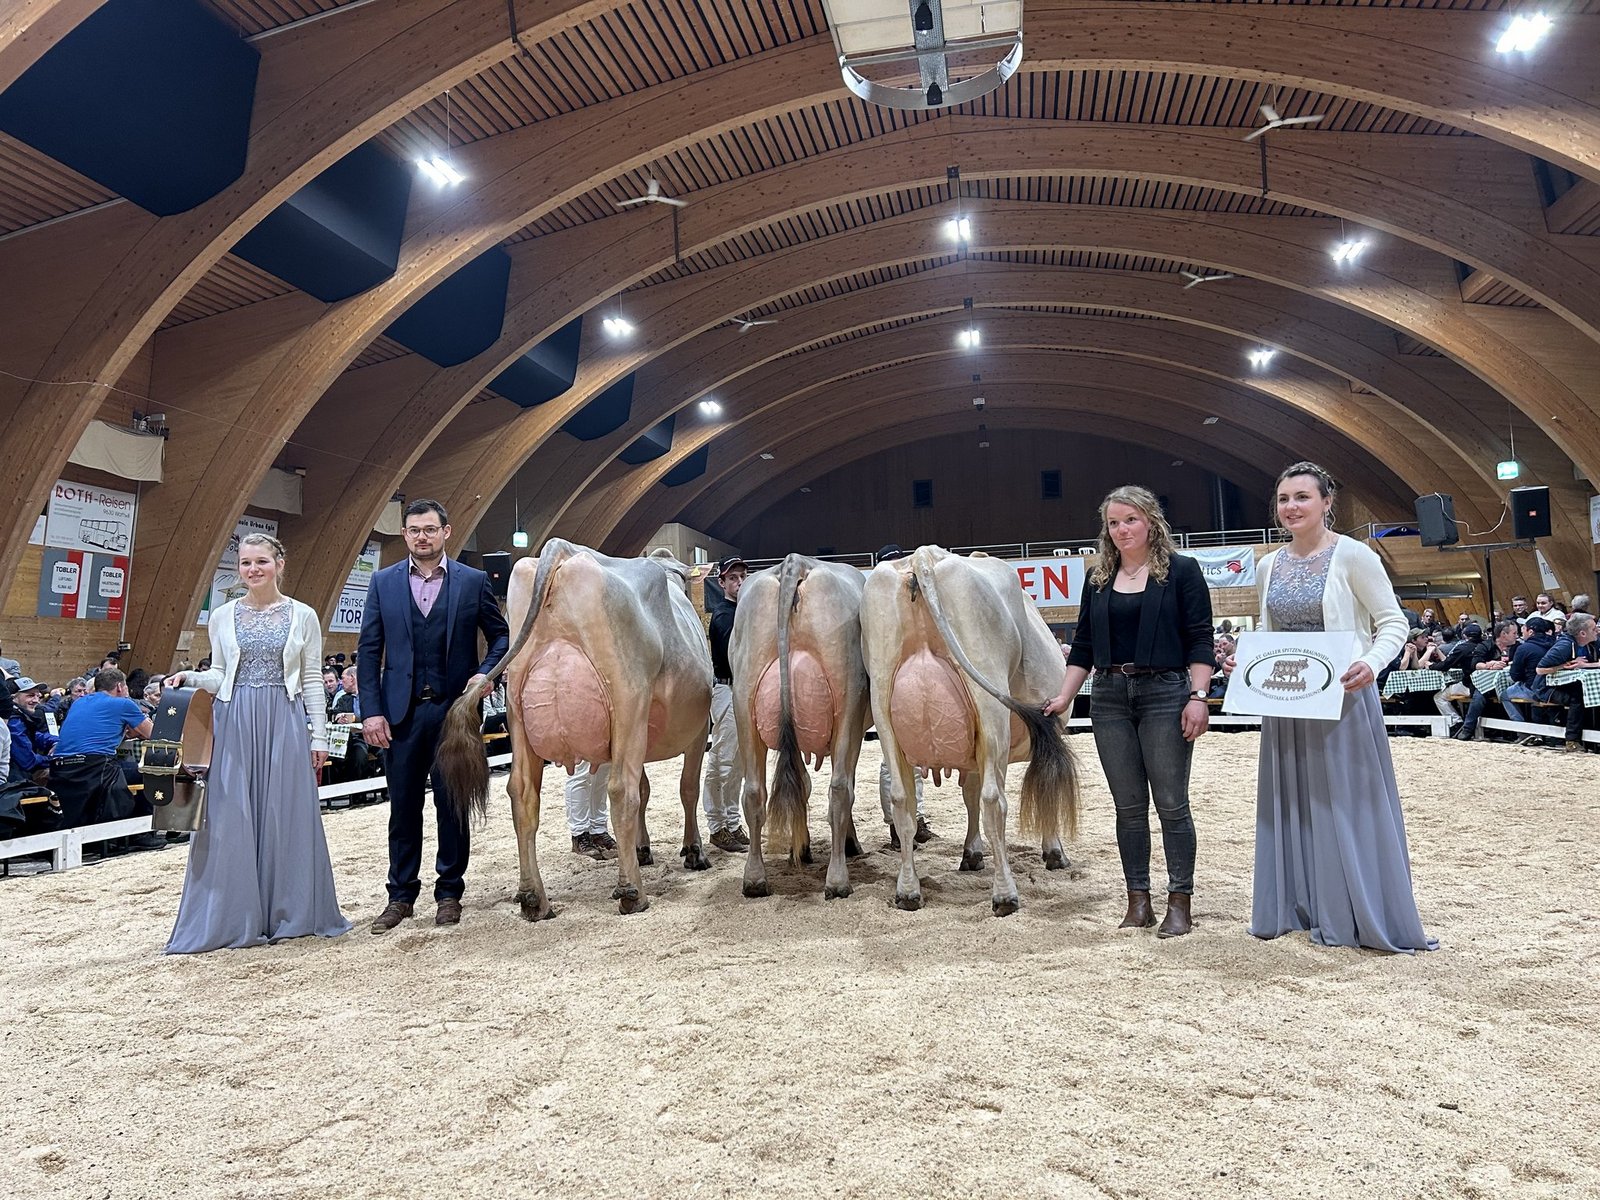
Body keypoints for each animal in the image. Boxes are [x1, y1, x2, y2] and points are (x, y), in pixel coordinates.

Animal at [435, 540, 714, 919]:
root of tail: (563, 549)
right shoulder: (697, 730)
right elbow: (685, 789)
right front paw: (693, 851)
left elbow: (648, 790)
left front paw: (642, 849)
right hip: (628, 703)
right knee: (621, 790)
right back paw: (632, 892)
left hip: (519, 709)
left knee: (522, 794)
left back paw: (534, 898)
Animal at [730, 554, 871, 900]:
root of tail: (795, 563)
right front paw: (849, 844)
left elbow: (803, 783)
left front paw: (802, 847)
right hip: (848, 698)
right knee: (840, 789)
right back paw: (838, 880)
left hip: (744, 699)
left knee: (754, 791)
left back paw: (755, 879)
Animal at [860, 546, 1079, 916]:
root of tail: (923, 557)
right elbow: (1041, 789)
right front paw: (1054, 852)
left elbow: (969, 793)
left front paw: (972, 853)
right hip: (991, 709)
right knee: (994, 800)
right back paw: (1005, 895)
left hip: (883, 701)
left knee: (901, 800)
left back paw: (908, 891)